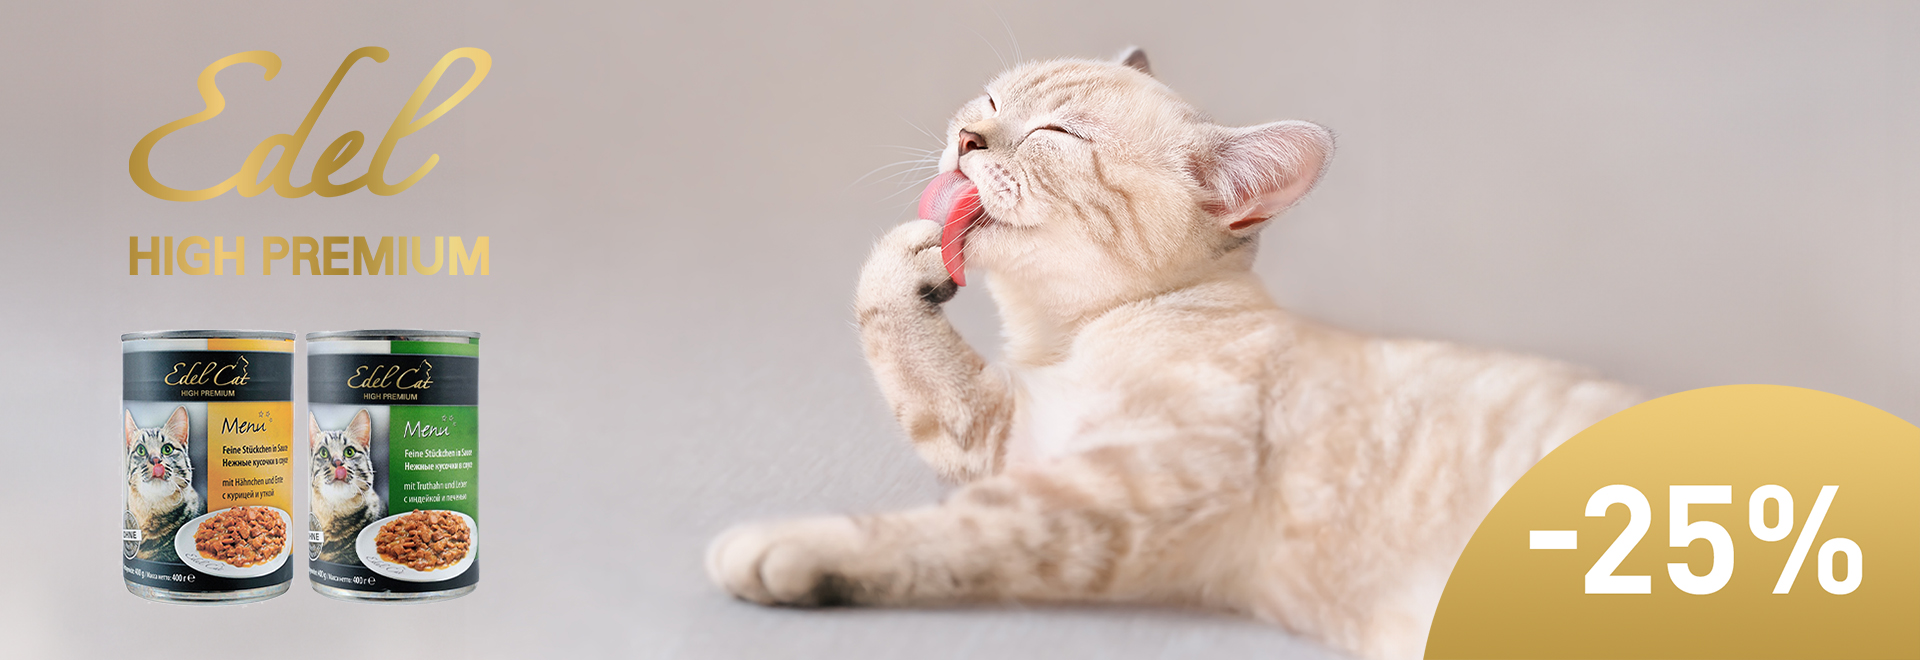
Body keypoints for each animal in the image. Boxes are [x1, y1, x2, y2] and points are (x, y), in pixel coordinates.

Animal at [706, 48, 1646, 660]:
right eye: (989, 102)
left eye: (1055, 133)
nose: (966, 138)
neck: (1073, 338)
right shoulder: (1015, 438)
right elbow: (903, 348)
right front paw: (910, 251)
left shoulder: (1114, 484)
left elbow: (941, 531)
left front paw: (786, 548)